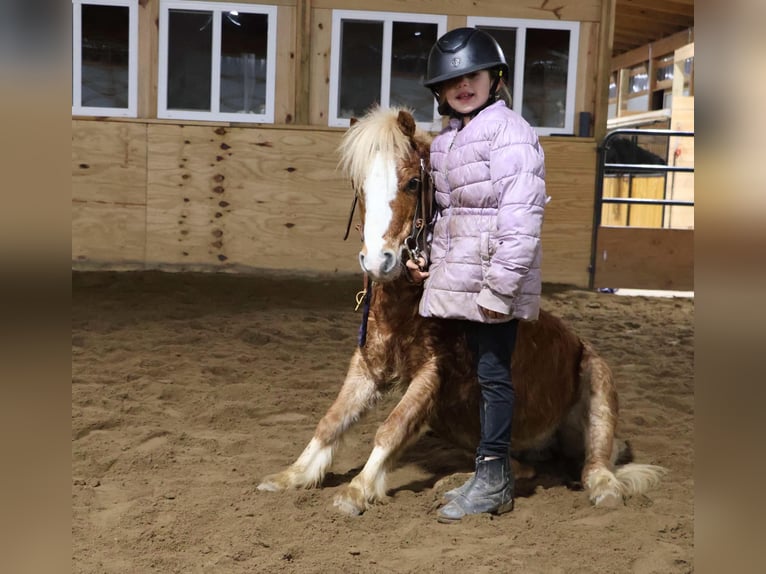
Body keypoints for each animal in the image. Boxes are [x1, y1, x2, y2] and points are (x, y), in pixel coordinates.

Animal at [257, 106, 666, 516]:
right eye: (359, 187)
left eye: (413, 182)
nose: (378, 261)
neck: (405, 309)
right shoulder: (367, 366)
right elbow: (332, 420)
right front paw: (291, 476)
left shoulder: (433, 374)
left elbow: (392, 426)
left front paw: (356, 491)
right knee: (519, 465)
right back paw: (456, 482)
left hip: (598, 388)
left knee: (592, 465)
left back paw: (602, 489)